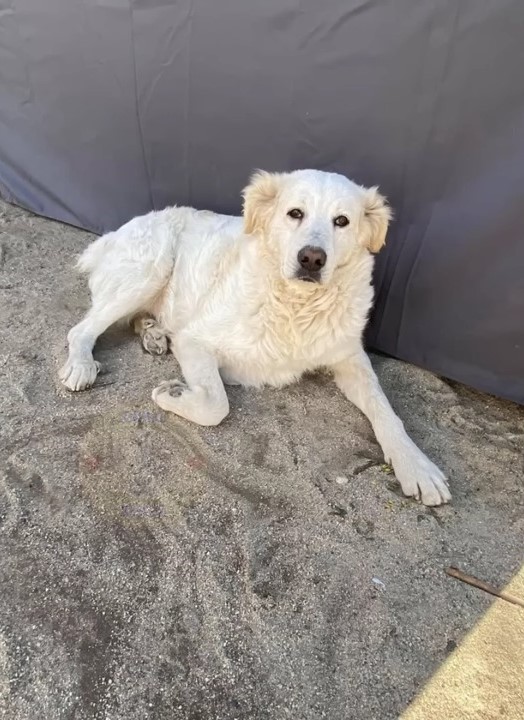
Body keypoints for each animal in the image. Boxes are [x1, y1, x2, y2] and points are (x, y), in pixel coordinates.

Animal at [58, 170, 450, 506]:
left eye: (342, 221)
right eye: (295, 213)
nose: (311, 259)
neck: (296, 306)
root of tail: (116, 231)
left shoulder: (349, 358)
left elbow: (386, 411)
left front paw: (416, 465)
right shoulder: (194, 338)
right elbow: (216, 405)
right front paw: (174, 394)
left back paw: (152, 333)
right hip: (151, 269)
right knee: (81, 329)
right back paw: (81, 365)